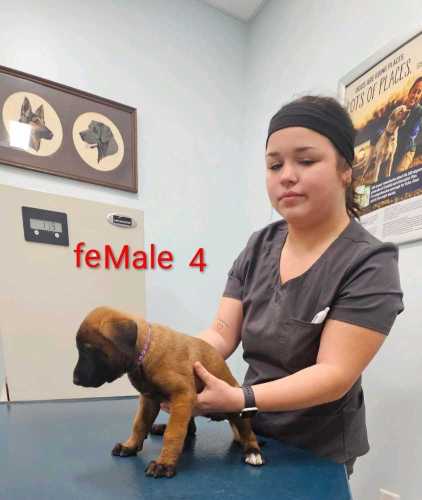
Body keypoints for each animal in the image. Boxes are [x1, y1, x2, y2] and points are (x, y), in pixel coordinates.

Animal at [73, 306, 264, 478]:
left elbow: (173, 433)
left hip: (235, 406)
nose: (75, 380)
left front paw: (164, 464)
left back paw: (252, 451)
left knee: (246, 431)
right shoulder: (149, 400)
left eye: (89, 349)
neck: (145, 353)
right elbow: (139, 424)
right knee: (191, 428)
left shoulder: (182, 395)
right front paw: (130, 446)